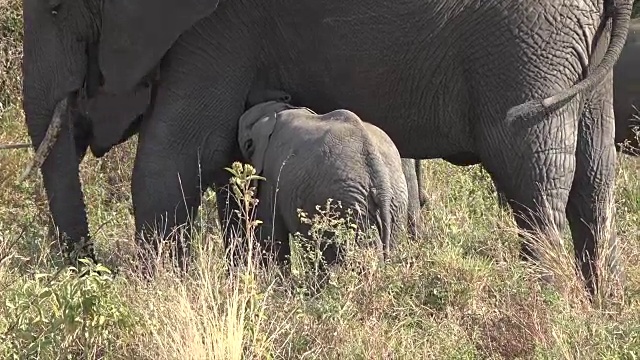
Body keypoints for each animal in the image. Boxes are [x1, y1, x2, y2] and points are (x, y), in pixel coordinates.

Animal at [236, 100, 410, 266]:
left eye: (247, 144)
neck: (276, 111)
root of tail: (381, 180)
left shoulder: (270, 175)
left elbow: (270, 232)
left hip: (345, 204)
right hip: (395, 204)